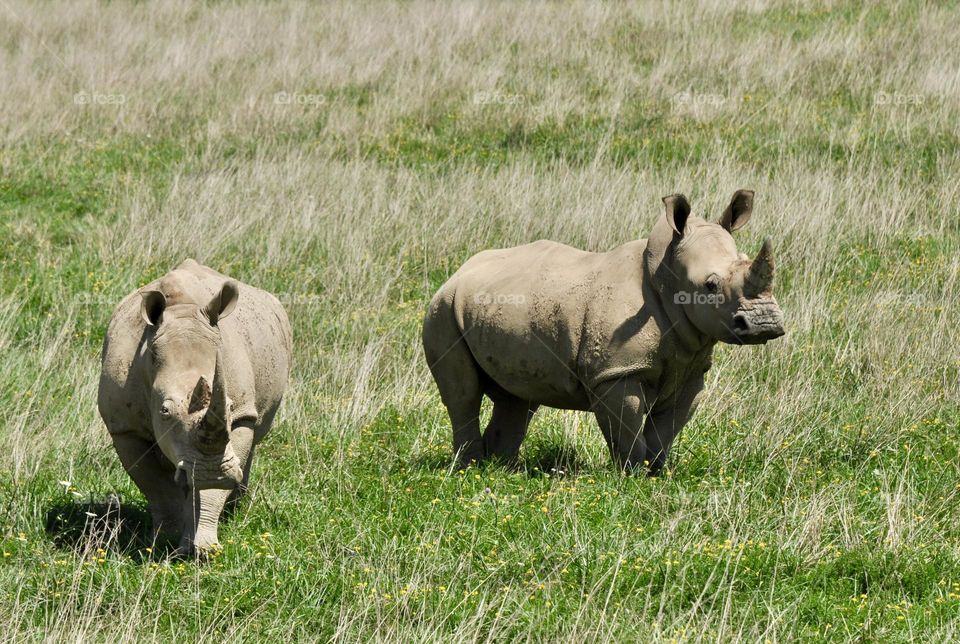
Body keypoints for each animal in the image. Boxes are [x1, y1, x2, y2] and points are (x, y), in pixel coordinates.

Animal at [98, 259, 292, 553]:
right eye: (165, 411)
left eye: (230, 406)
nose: (211, 472)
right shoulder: (124, 426)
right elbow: (154, 485)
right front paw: (163, 541)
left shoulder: (240, 416)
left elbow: (209, 490)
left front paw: (202, 550)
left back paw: (235, 509)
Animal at [423, 190, 784, 474]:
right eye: (710, 285)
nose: (765, 323)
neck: (666, 277)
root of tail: (458, 271)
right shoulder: (616, 371)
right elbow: (627, 428)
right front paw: (632, 475)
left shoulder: (690, 369)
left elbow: (667, 428)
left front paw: (655, 473)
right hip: (443, 310)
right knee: (463, 394)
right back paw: (470, 468)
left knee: (518, 397)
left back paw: (500, 467)